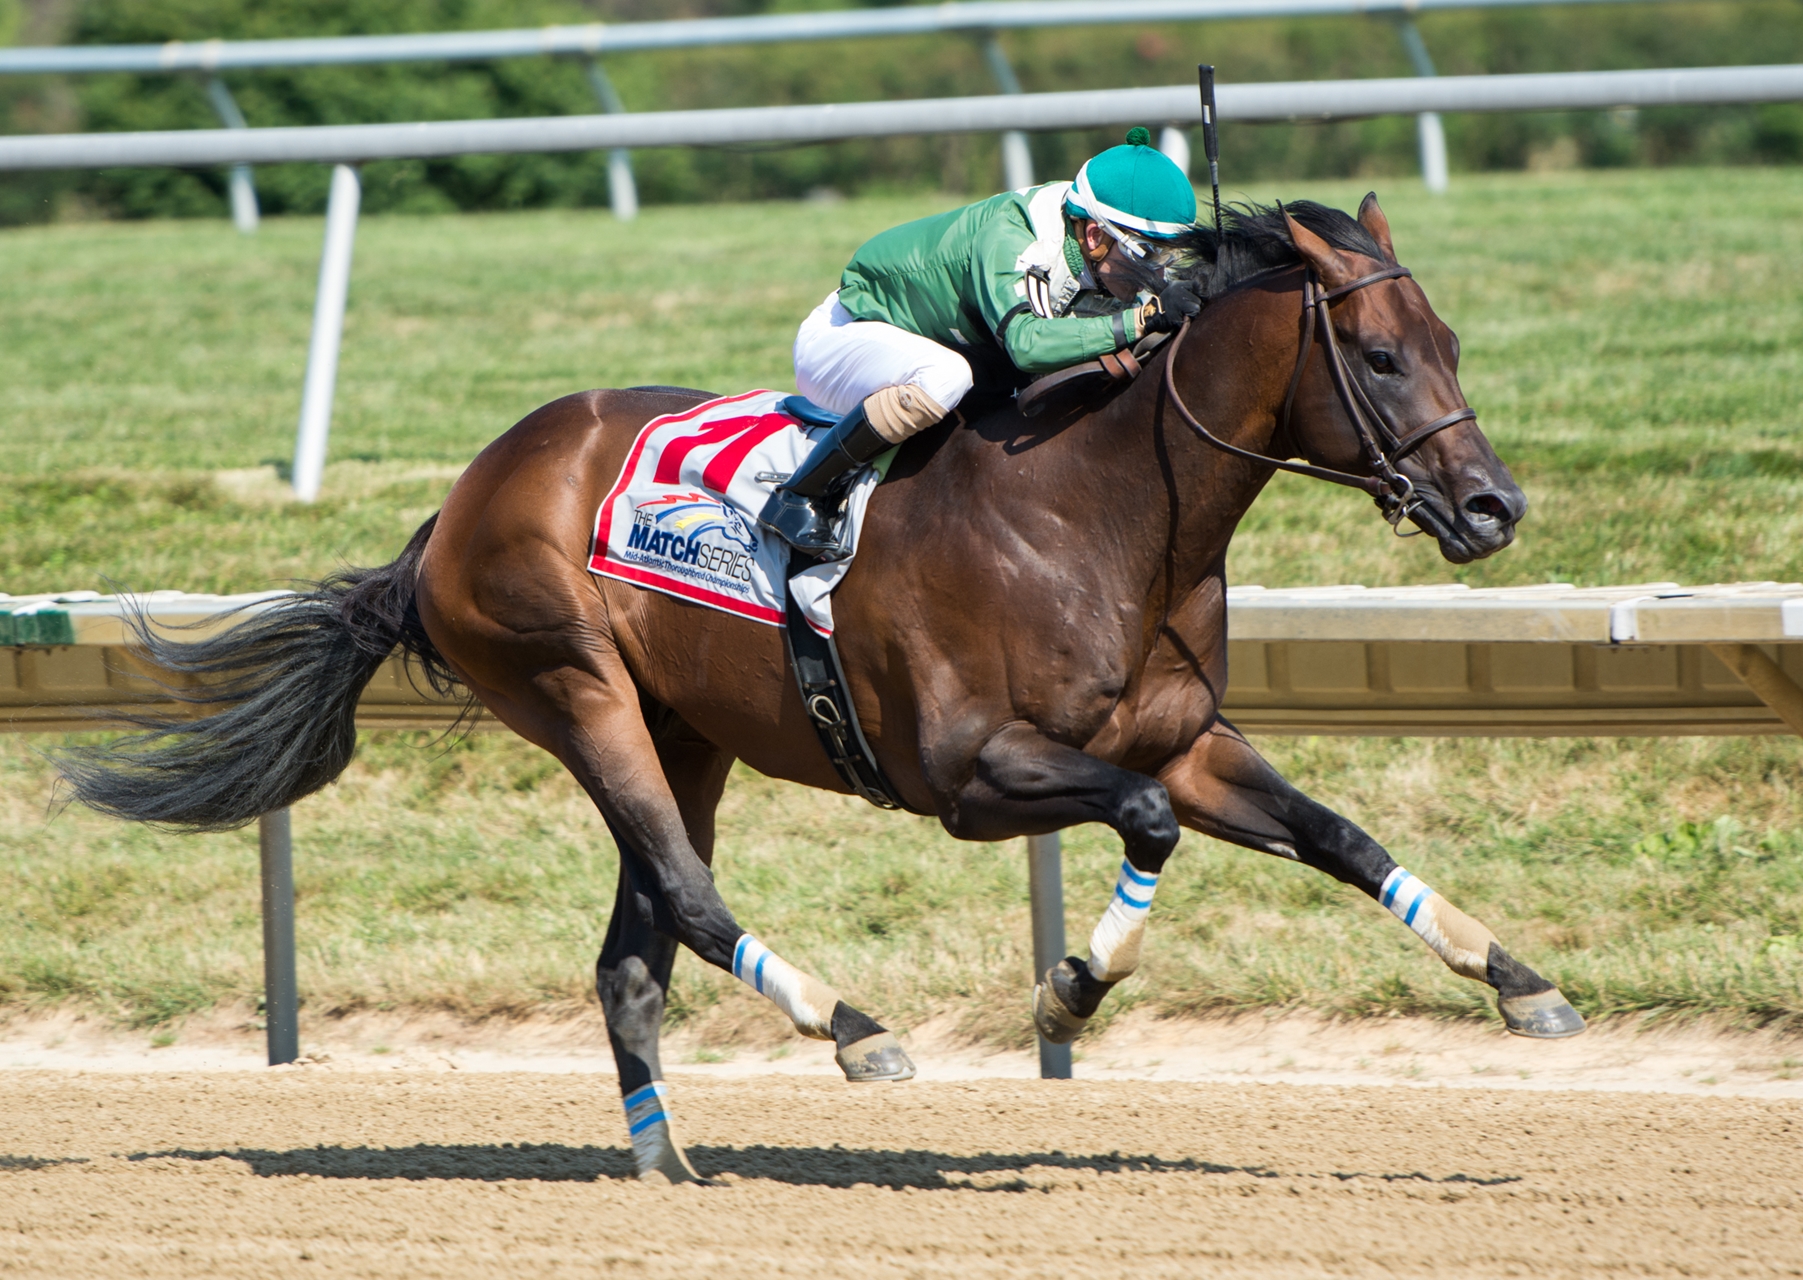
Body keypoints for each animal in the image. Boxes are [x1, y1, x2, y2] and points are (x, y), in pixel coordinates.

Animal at [59, 195, 1579, 1189]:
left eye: (1449, 338)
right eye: (1378, 355)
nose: (1492, 508)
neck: (1102, 513)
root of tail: (461, 497)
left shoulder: (1187, 738)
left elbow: (1338, 835)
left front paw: (1519, 981)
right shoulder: (971, 773)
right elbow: (1141, 824)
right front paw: (1067, 995)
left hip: (686, 734)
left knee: (631, 955)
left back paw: (668, 1165)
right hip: (572, 685)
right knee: (685, 900)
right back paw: (854, 1032)